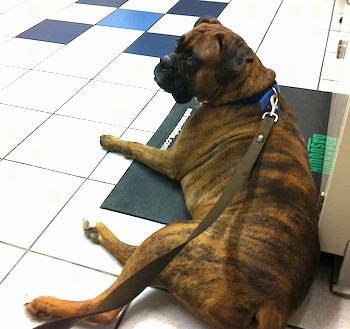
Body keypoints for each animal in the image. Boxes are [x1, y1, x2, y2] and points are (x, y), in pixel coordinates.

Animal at [25, 17, 320, 328]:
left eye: (191, 60)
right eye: (178, 44)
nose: (163, 61)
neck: (248, 95)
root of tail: (271, 301)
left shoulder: (171, 161)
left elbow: (137, 146)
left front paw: (115, 141)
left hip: (168, 238)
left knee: (105, 306)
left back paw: (50, 299)